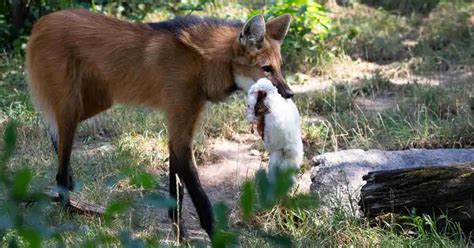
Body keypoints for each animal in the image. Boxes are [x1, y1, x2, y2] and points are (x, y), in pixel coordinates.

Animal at [26, 9, 292, 238]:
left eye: (280, 68)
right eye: (266, 69)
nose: (289, 94)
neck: (203, 62)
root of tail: (41, 23)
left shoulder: (179, 127)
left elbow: (177, 190)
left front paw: (180, 234)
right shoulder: (180, 124)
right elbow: (199, 196)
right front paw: (214, 236)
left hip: (98, 102)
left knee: (54, 131)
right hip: (72, 108)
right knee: (59, 166)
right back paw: (67, 213)